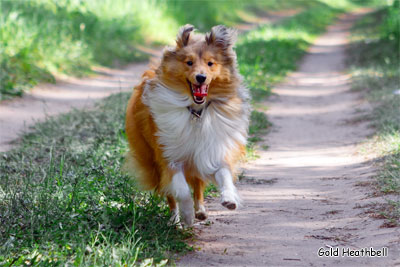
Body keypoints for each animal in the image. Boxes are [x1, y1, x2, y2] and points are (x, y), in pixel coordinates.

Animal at [126, 24, 250, 226]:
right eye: (189, 62)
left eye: (210, 63)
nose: (201, 77)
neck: (196, 112)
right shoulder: (169, 156)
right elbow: (181, 190)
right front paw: (187, 215)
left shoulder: (213, 148)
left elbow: (223, 174)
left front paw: (229, 199)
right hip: (153, 161)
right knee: (170, 195)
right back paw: (175, 221)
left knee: (198, 186)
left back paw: (200, 211)